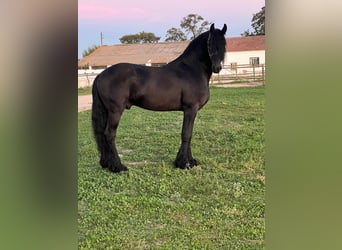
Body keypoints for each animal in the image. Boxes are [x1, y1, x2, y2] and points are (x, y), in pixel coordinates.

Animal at [91, 23, 227, 172]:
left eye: (224, 44)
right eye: (209, 43)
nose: (217, 67)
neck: (191, 69)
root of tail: (101, 74)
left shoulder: (191, 110)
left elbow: (189, 134)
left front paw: (190, 161)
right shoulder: (190, 109)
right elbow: (186, 134)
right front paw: (184, 163)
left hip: (107, 111)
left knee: (102, 135)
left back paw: (106, 163)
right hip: (115, 111)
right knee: (109, 134)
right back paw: (118, 166)